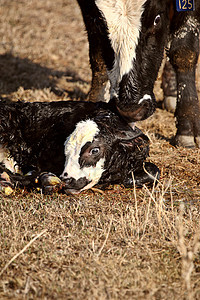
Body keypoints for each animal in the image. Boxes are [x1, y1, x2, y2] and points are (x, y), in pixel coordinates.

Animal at [77, 0, 200, 148]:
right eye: (99, 23)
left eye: (157, 19)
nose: (131, 110)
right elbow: (98, 55)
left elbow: (183, 51)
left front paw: (188, 126)